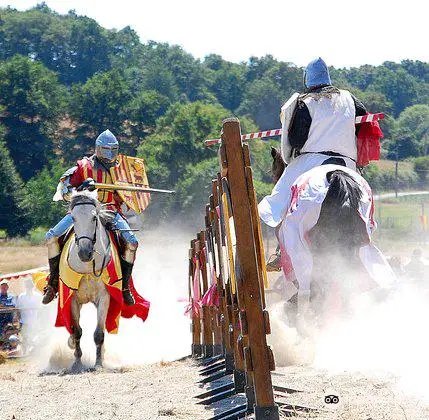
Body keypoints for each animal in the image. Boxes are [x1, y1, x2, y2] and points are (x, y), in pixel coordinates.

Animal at [66, 191, 115, 370]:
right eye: (73, 218)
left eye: (94, 218)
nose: (84, 252)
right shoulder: (73, 300)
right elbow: (77, 331)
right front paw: (77, 362)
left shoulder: (104, 298)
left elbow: (99, 333)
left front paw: (99, 363)